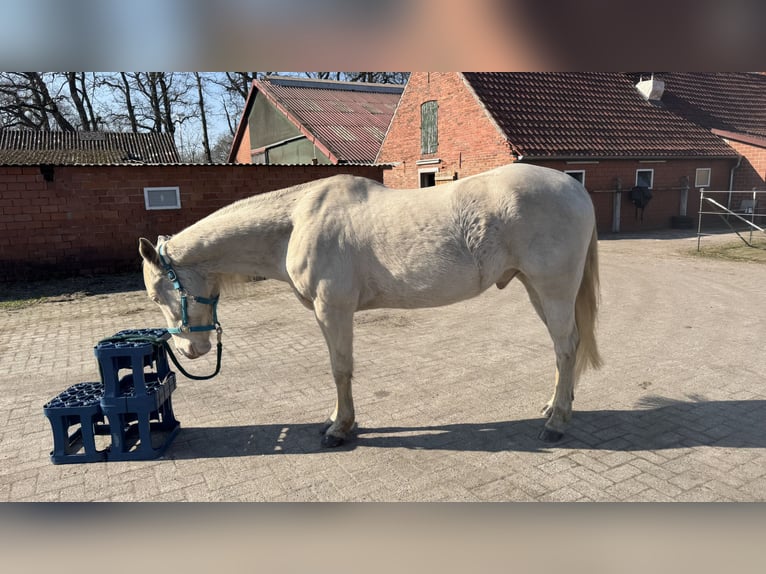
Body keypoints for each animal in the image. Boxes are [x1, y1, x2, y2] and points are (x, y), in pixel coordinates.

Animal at [138, 162, 602, 446]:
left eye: (158, 294)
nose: (189, 350)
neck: (296, 223)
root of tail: (576, 189)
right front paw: (337, 421)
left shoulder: (333, 310)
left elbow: (340, 369)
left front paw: (341, 429)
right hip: (536, 289)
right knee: (565, 348)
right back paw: (555, 406)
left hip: (553, 289)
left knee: (565, 348)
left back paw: (556, 423)